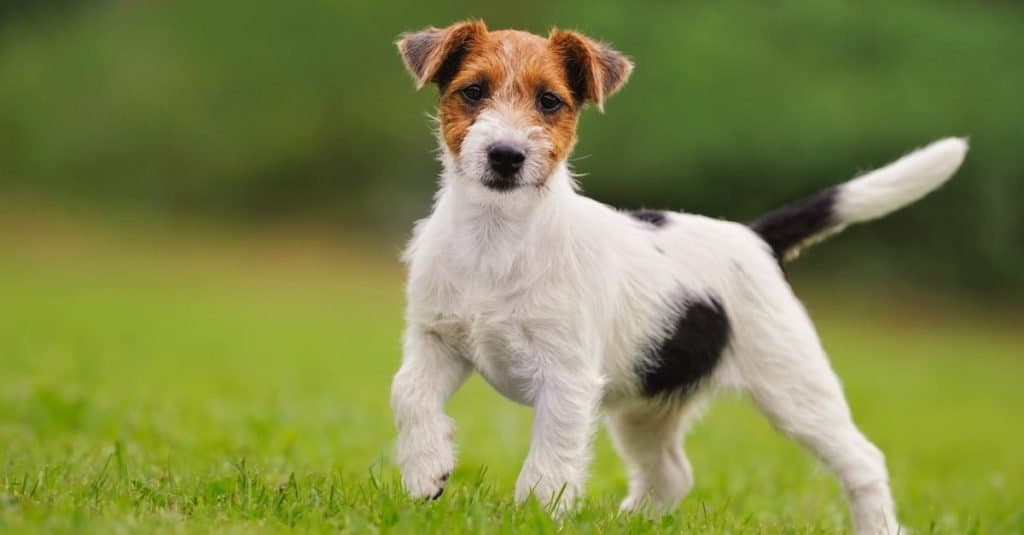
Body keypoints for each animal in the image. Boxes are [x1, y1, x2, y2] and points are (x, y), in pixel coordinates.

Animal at [389, 19, 966, 532]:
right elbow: (408, 392)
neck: (497, 236)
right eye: (473, 91)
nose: (506, 156)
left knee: (863, 461)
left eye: (549, 101)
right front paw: (426, 470)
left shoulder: (566, 378)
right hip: (648, 403)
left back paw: (878, 525)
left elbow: (549, 461)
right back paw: (626, 522)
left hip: (795, 387)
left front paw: (533, 515)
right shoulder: (437, 339)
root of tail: (754, 237)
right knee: (671, 474)